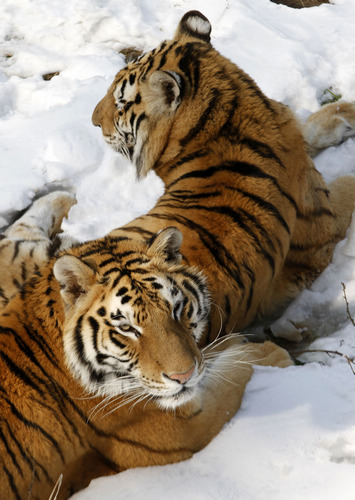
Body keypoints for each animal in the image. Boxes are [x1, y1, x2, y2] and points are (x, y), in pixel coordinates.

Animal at [0, 189, 292, 498]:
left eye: (177, 308)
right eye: (127, 328)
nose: (183, 377)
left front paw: (234, 343)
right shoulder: (184, 427)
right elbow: (235, 374)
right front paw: (269, 353)